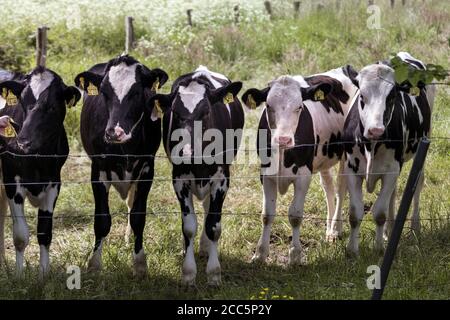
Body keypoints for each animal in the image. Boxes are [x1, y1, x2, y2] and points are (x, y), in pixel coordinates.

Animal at [0, 67, 80, 276]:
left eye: (51, 106)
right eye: (22, 102)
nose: (23, 141)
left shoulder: (54, 182)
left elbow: (45, 232)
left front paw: (43, 274)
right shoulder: (12, 181)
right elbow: (20, 235)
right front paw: (19, 276)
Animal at [74, 55, 168, 276]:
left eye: (137, 92)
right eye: (104, 92)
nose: (114, 132)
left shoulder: (146, 169)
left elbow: (138, 217)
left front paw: (140, 264)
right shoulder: (98, 170)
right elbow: (101, 220)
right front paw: (94, 265)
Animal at [147, 66, 244, 286]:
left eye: (206, 111)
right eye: (175, 112)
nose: (186, 152)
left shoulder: (222, 179)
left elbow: (213, 225)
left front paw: (214, 273)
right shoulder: (179, 180)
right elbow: (189, 226)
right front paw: (188, 273)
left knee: (208, 210)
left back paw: (206, 247)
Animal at [241, 67, 360, 264]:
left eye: (299, 107)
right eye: (268, 106)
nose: (283, 139)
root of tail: (346, 68)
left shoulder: (303, 176)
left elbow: (295, 215)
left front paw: (295, 256)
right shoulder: (266, 175)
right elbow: (267, 215)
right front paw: (260, 254)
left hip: (346, 155)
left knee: (341, 189)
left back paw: (335, 230)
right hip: (323, 158)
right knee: (328, 187)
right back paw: (329, 230)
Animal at [342, 53, 436, 258]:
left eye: (392, 96)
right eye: (362, 95)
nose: (376, 130)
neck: (371, 145)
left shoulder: (391, 171)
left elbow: (379, 213)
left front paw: (378, 249)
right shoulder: (351, 170)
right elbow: (355, 214)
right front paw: (352, 251)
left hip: (424, 143)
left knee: (418, 183)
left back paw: (415, 227)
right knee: (392, 195)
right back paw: (388, 231)